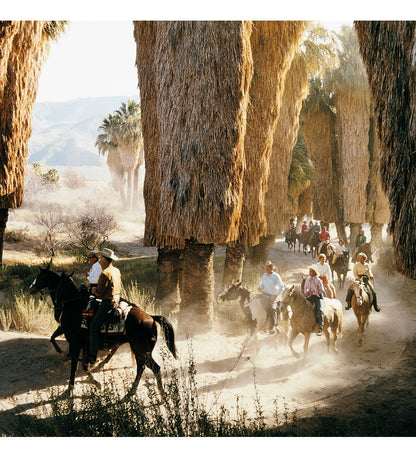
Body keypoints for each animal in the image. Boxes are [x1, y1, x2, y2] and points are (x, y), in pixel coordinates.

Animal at [29, 268, 177, 394]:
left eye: (40, 276)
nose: (31, 289)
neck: (74, 305)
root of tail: (151, 317)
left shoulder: (75, 343)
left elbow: (74, 364)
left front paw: (71, 387)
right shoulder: (84, 344)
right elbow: (83, 364)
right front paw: (94, 381)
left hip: (141, 350)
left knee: (153, 367)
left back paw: (158, 393)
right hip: (139, 350)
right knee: (141, 366)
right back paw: (132, 390)